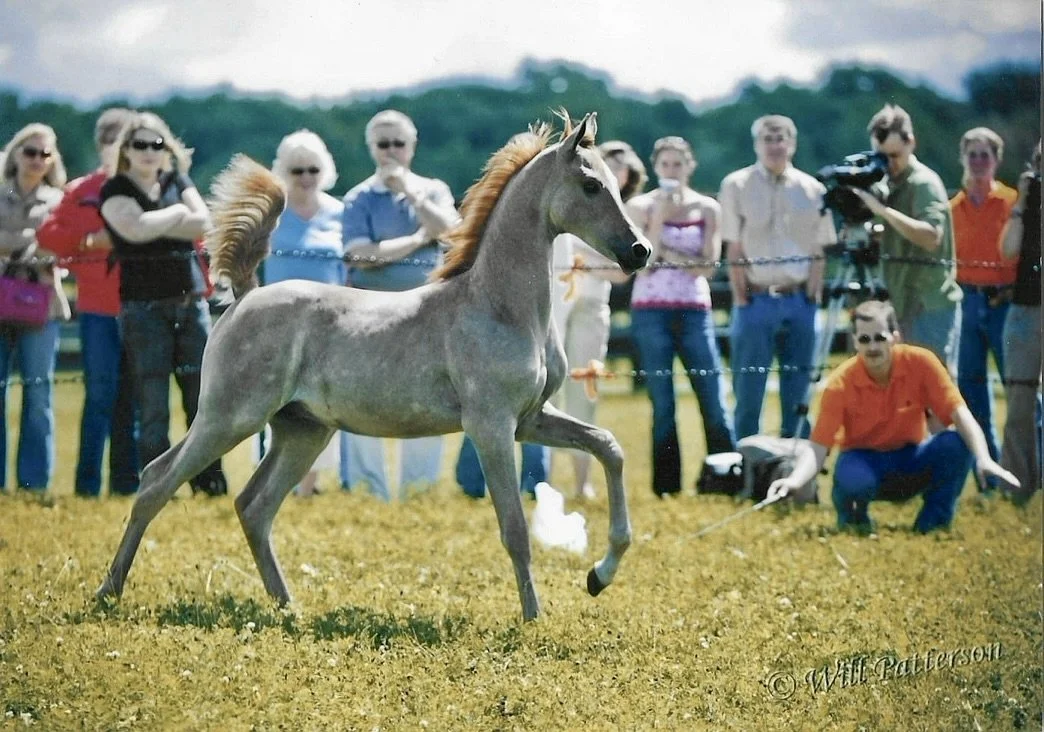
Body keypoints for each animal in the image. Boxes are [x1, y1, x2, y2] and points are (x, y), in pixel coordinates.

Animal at [96, 112, 651, 621]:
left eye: (615, 183)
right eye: (591, 184)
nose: (640, 251)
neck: (499, 306)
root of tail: (246, 296)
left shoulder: (531, 419)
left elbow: (609, 447)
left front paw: (599, 576)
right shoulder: (491, 425)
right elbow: (514, 526)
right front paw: (534, 617)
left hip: (301, 431)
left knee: (254, 506)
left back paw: (288, 607)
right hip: (228, 418)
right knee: (157, 480)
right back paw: (108, 593)